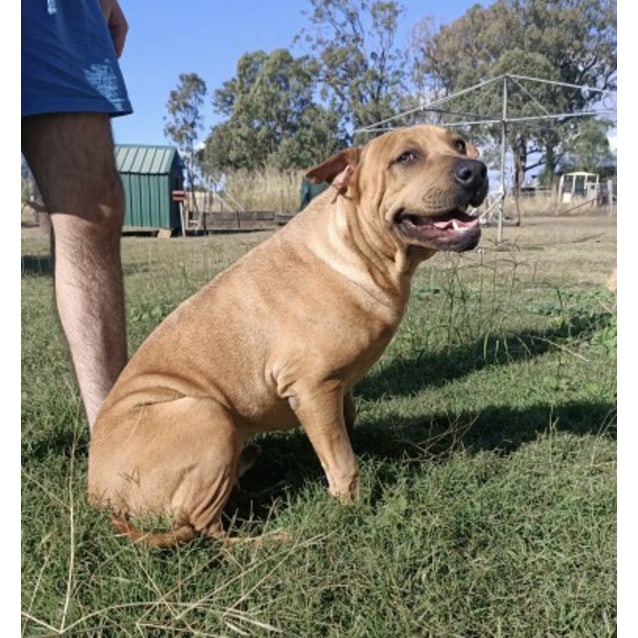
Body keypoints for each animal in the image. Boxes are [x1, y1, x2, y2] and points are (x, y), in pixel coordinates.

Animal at [89, 125, 490, 552]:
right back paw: (276, 536)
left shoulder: (339, 387)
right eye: (407, 157)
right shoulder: (314, 387)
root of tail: (97, 496)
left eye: (459, 145)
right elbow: (342, 461)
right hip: (207, 413)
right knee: (204, 528)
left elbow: (345, 430)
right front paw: (351, 508)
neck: (357, 250)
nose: (476, 171)